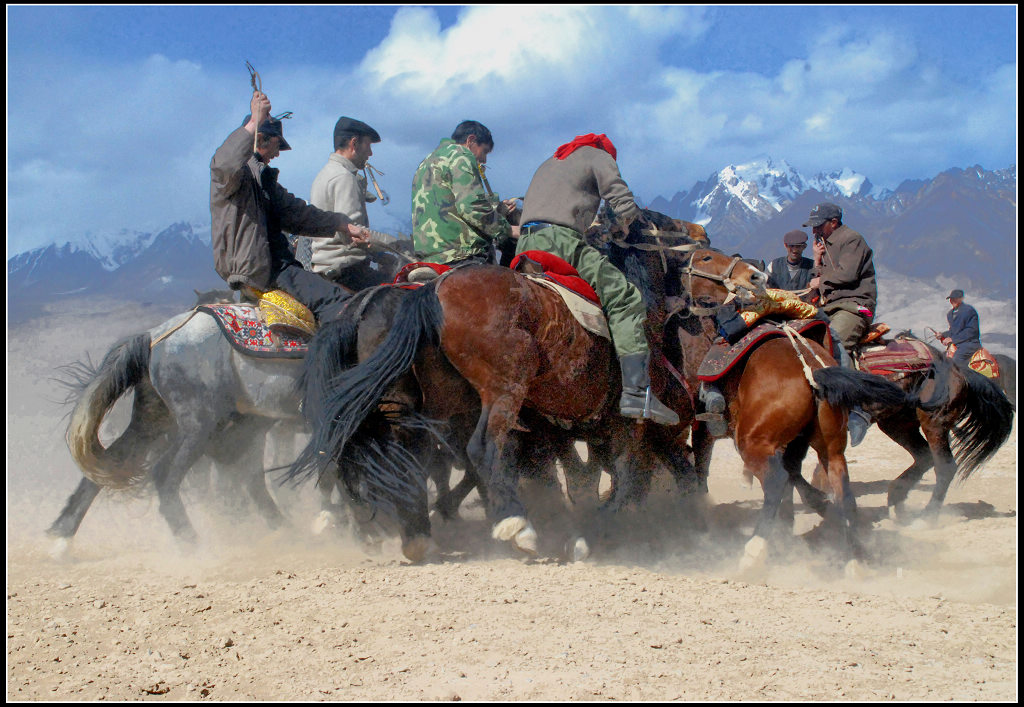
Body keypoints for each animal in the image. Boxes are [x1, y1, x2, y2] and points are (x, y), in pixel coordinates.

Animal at [290, 241, 770, 557]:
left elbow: (612, 478)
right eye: (705, 256)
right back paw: (512, 524)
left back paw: (411, 532)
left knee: (399, 457)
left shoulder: (600, 432)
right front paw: (591, 531)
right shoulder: (625, 428)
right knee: (478, 451)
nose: (756, 276)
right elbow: (619, 480)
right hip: (500, 391)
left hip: (421, 406)